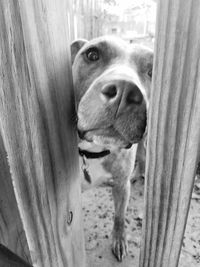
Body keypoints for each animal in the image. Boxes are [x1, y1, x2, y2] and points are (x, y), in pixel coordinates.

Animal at [70, 36, 153, 262]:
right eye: (92, 54)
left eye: (153, 70)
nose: (124, 91)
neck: (95, 151)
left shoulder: (121, 186)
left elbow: (119, 216)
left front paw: (119, 239)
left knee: (143, 153)